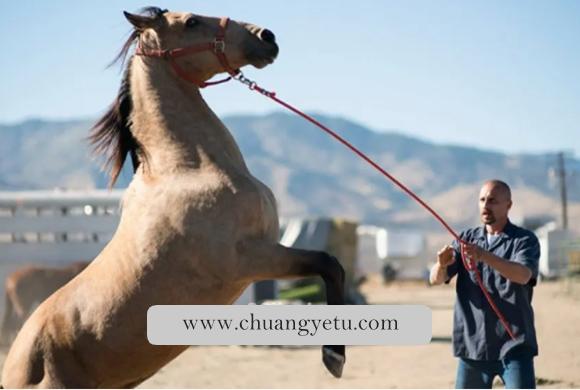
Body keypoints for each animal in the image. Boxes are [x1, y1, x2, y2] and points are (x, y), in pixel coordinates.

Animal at [1, 7, 344, 388]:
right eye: (191, 21)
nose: (266, 37)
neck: (189, 169)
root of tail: (15, 364)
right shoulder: (249, 259)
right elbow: (328, 263)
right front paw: (334, 356)